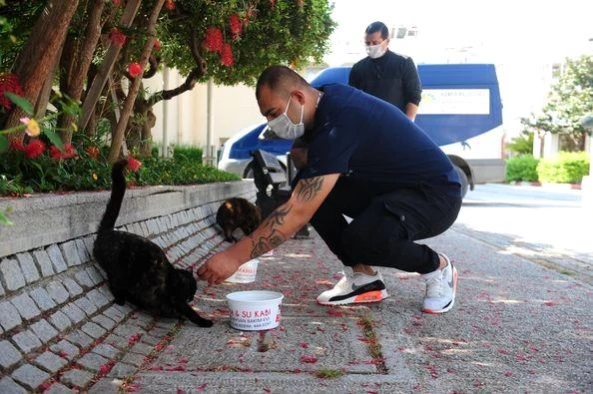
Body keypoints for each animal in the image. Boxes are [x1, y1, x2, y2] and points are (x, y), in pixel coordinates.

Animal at [92, 159, 213, 328]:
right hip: (121, 272)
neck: (174, 279)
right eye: (190, 293)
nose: (192, 298)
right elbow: (190, 312)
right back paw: (122, 299)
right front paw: (204, 321)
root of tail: (108, 231)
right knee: (115, 284)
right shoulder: (178, 300)